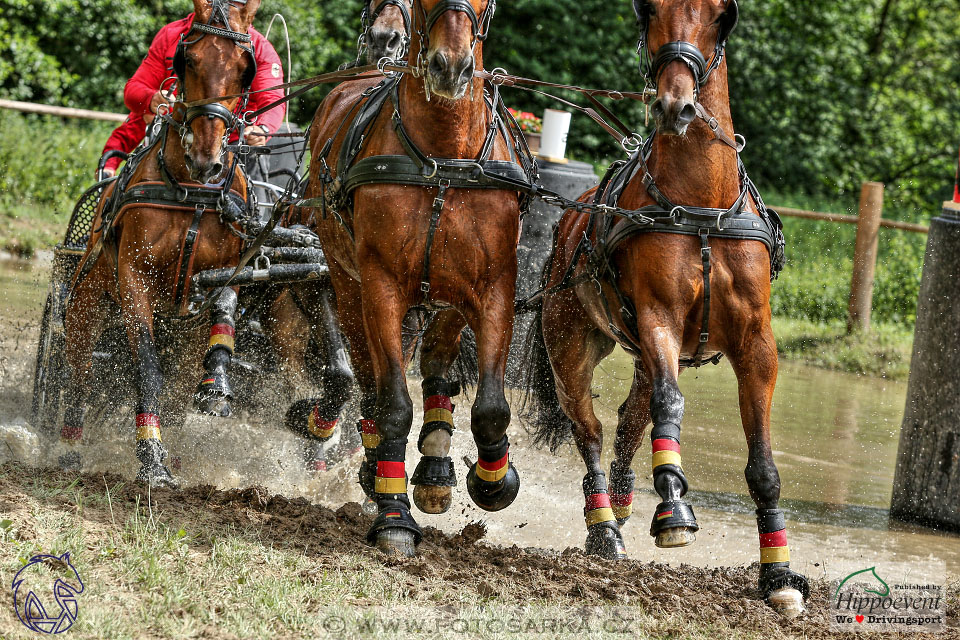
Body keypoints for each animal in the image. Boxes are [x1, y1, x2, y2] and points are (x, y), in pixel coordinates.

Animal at [61, 0, 262, 488]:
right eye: (186, 59)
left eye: (245, 67)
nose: (206, 158)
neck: (192, 190)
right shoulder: (134, 278)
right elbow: (147, 369)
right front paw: (151, 459)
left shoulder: (225, 273)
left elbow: (222, 318)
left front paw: (216, 387)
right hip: (85, 301)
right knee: (78, 373)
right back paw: (69, 449)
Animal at [304, 0, 528, 556]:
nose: (451, 67)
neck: (443, 156)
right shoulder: (381, 288)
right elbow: (392, 404)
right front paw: (393, 515)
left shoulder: (492, 288)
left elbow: (491, 406)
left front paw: (492, 480)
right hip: (349, 285)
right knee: (368, 381)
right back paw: (377, 467)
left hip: (446, 299)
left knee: (437, 366)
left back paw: (435, 467)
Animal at [520, 0, 808, 616]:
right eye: (650, 9)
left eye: (721, 16)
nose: (677, 104)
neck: (701, 206)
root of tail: (570, 217)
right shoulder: (659, 321)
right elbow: (670, 404)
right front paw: (673, 504)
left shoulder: (756, 344)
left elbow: (763, 464)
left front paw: (778, 574)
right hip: (571, 342)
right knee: (592, 428)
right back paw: (605, 524)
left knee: (631, 419)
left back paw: (627, 500)